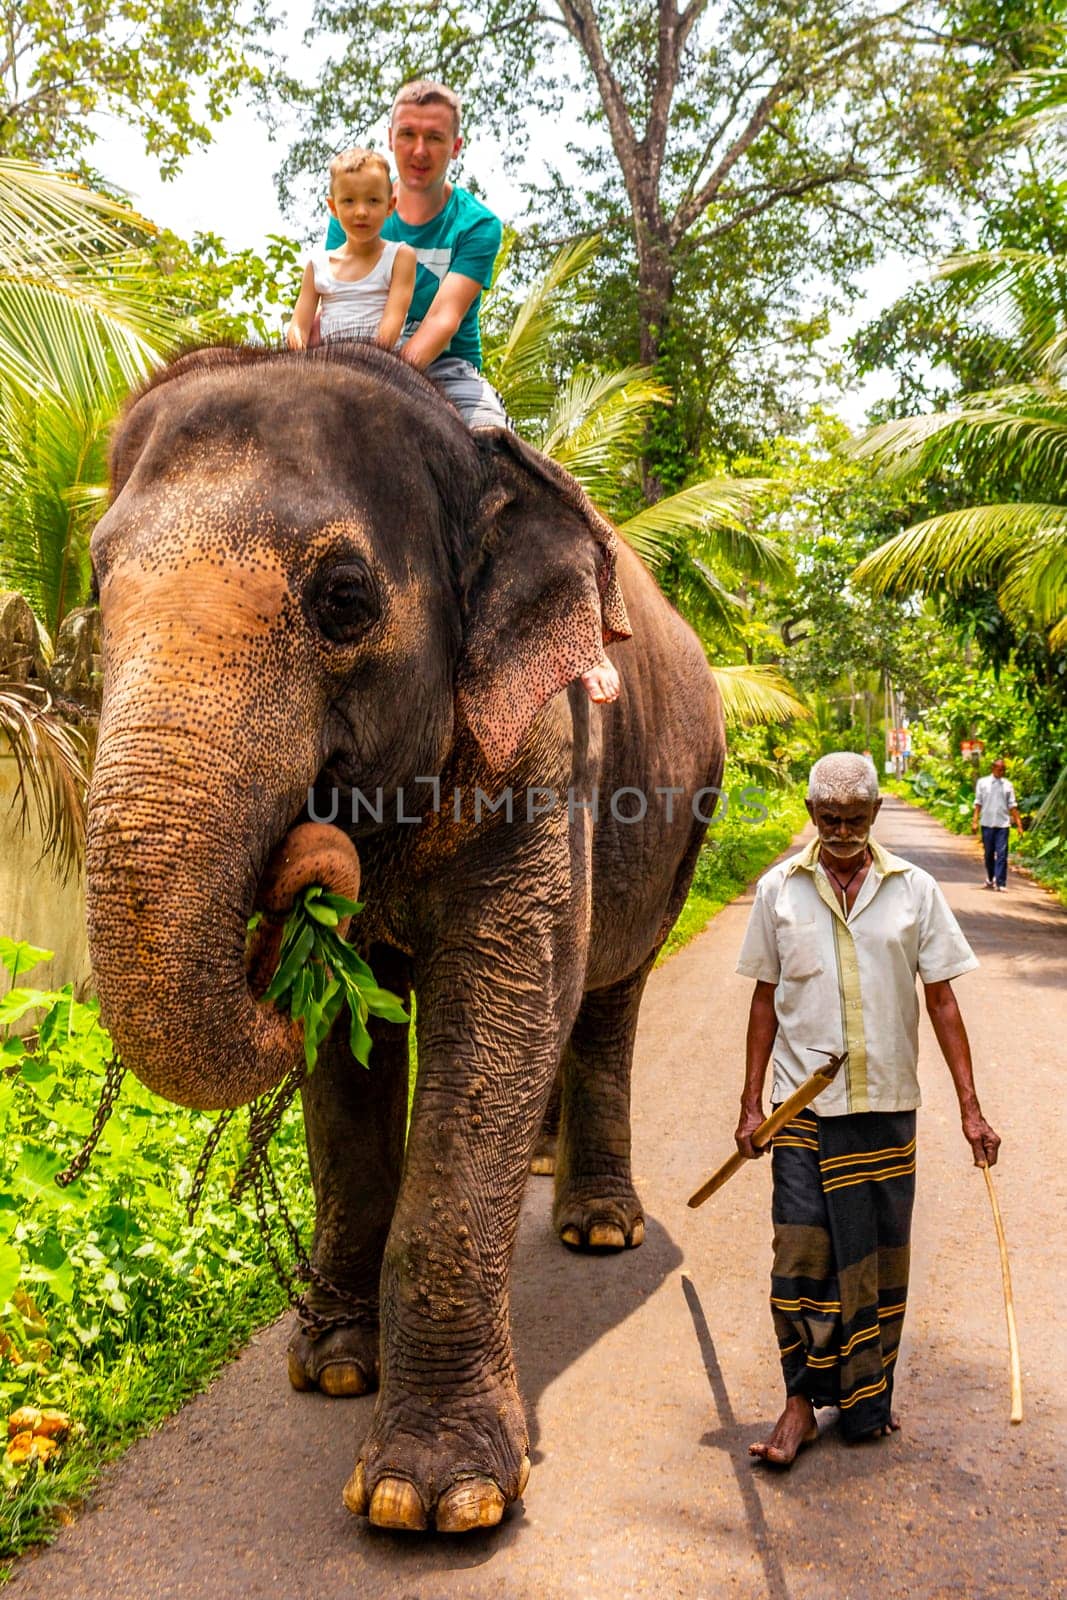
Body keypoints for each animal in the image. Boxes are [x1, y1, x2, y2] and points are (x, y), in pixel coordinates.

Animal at [87, 347, 729, 1536]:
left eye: (344, 599)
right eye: (98, 586)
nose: (298, 861)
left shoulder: (546, 744)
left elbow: (506, 995)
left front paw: (430, 1497)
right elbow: (348, 1048)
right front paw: (336, 1366)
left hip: (684, 816)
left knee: (606, 990)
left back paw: (598, 1227)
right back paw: (540, 1165)